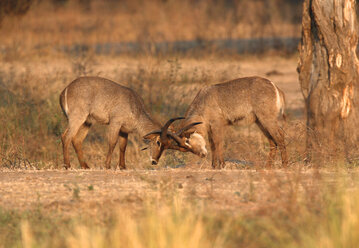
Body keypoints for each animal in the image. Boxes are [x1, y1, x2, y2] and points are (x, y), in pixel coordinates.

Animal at [145, 76, 288, 169]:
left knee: (280, 137)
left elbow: (218, 143)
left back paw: (284, 165)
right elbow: (212, 144)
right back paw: (268, 167)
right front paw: (214, 165)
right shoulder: (209, 128)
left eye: (187, 141)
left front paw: (221, 165)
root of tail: (275, 87)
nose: (202, 155)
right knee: (272, 141)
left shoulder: (217, 125)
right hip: (260, 122)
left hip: (267, 120)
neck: (204, 99)